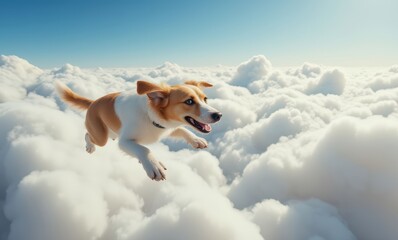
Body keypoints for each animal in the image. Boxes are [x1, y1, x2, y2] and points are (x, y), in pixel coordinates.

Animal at [56, 79, 222, 181]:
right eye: (189, 101)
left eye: (205, 99)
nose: (218, 115)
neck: (149, 116)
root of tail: (93, 103)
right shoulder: (124, 142)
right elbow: (144, 149)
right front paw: (154, 165)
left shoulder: (166, 127)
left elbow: (183, 130)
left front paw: (196, 140)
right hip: (101, 136)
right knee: (88, 134)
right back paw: (90, 146)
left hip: (111, 132)